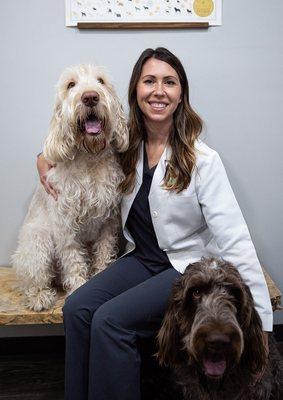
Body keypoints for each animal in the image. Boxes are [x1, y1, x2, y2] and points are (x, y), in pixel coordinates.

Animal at [12, 64, 129, 310]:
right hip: (38, 241)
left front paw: (100, 275)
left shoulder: (108, 221)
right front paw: (78, 287)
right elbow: (73, 259)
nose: (90, 97)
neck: (90, 156)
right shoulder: (65, 225)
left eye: (101, 81)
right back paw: (39, 296)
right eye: (71, 85)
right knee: (33, 279)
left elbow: (104, 251)